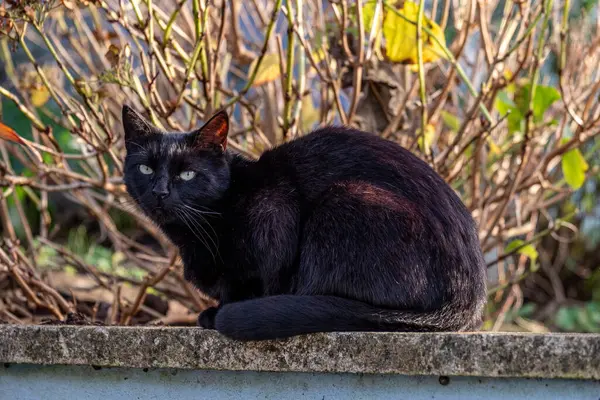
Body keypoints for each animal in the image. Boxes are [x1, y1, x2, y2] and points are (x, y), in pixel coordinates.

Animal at [122, 105, 488, 340]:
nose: (159, 191)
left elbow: (261, 277)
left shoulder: (277, 210)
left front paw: (221, 309)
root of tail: (468, 299)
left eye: (187, 174)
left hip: (345, 199)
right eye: (146, 169)